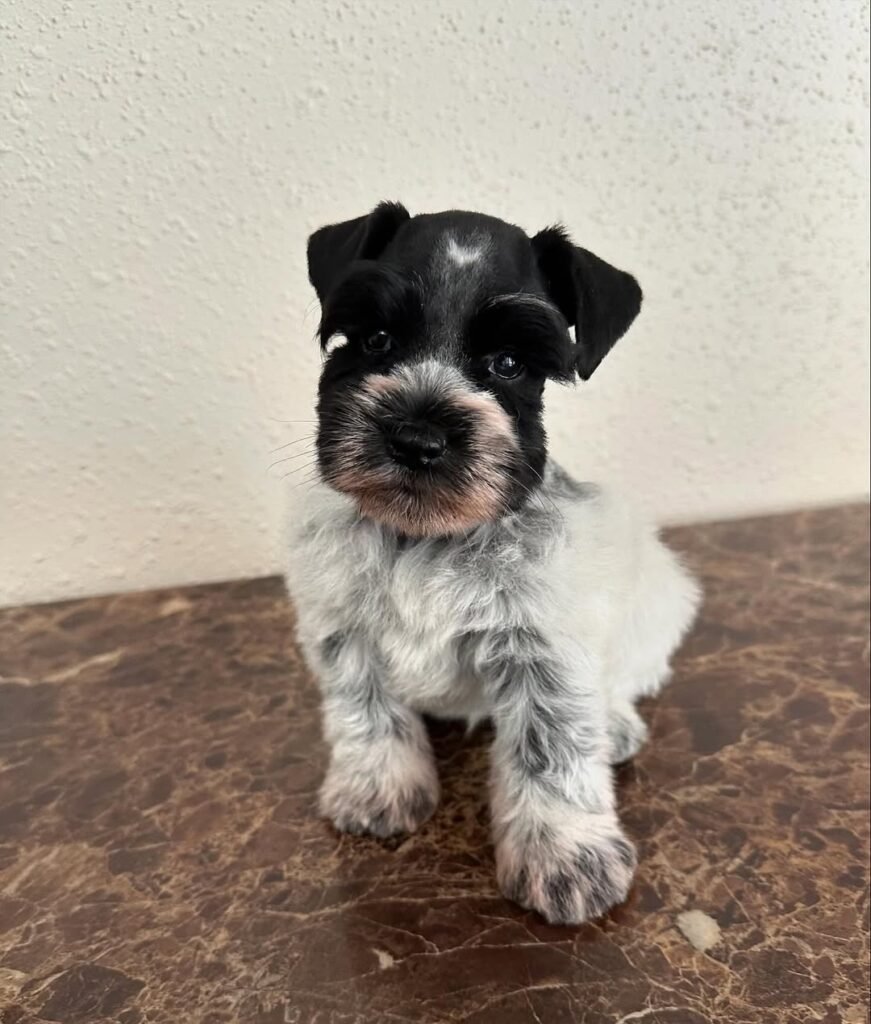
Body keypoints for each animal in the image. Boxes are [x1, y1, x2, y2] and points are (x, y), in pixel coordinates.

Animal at [286, 203, 700, 925]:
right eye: (375, 341)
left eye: (507, 363)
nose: (416, 439)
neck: (424, 538)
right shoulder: (342, 630)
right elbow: (366, 712)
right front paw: (377, 790)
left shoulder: (543, 651)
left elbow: (551, 749)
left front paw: (565, 856)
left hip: (654, 601)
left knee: (624, 679)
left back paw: (616, 725)